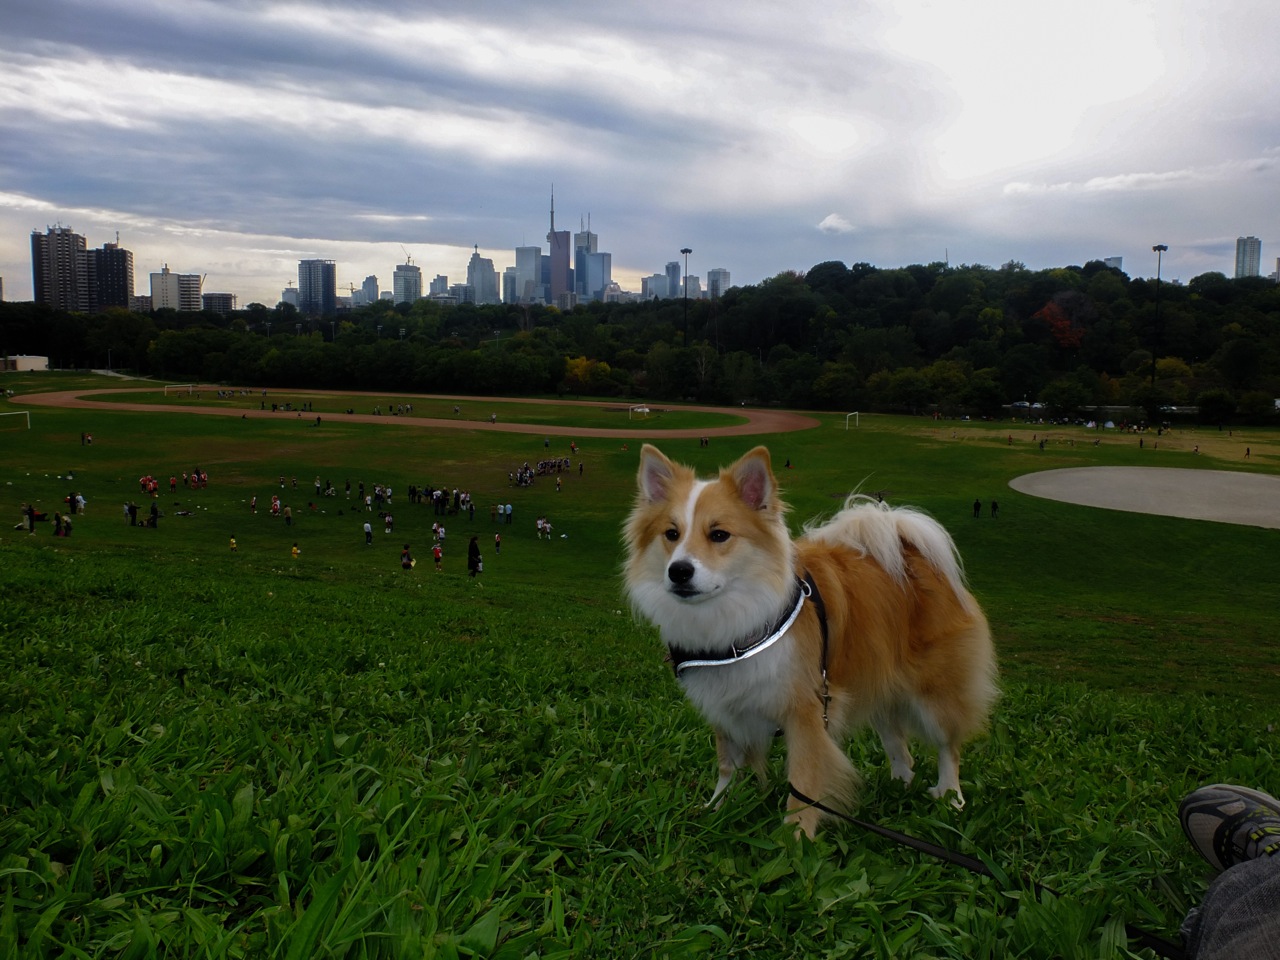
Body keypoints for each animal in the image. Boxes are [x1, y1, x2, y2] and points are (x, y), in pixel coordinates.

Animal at [624, 444, 997, 837]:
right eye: (671, 534)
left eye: (719, 535)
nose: (679, 571)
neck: (738, 620)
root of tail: (909, 549)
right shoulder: (726, 707)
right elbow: (727, 766)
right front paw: (716, 810)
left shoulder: (807, 712)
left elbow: (802, 783)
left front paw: (796, 836)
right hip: (881, 686)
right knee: (900, 746)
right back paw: (899, 785)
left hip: (935, 693)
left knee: (947, 745)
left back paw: (951, 796)